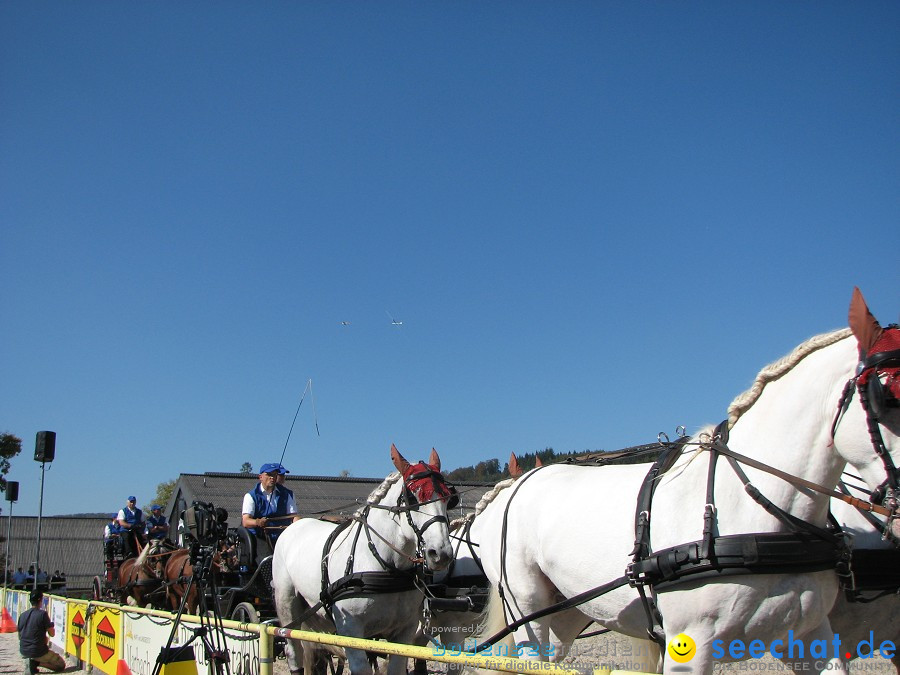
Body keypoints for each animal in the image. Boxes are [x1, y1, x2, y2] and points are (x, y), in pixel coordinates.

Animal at [272, 446, 458, 675]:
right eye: (413, 498)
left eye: (447, 498)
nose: (440, 553)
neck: (386, 567)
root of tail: (293, 525)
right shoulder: (350, 630)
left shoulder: (404, 631)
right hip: (287, 605)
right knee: (293, 650)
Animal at [472, 290, 900, 675]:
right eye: (887, 394)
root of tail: (511, 488)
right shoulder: (690, 645)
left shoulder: (809, 637)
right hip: (527, 608)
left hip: (568, 608)